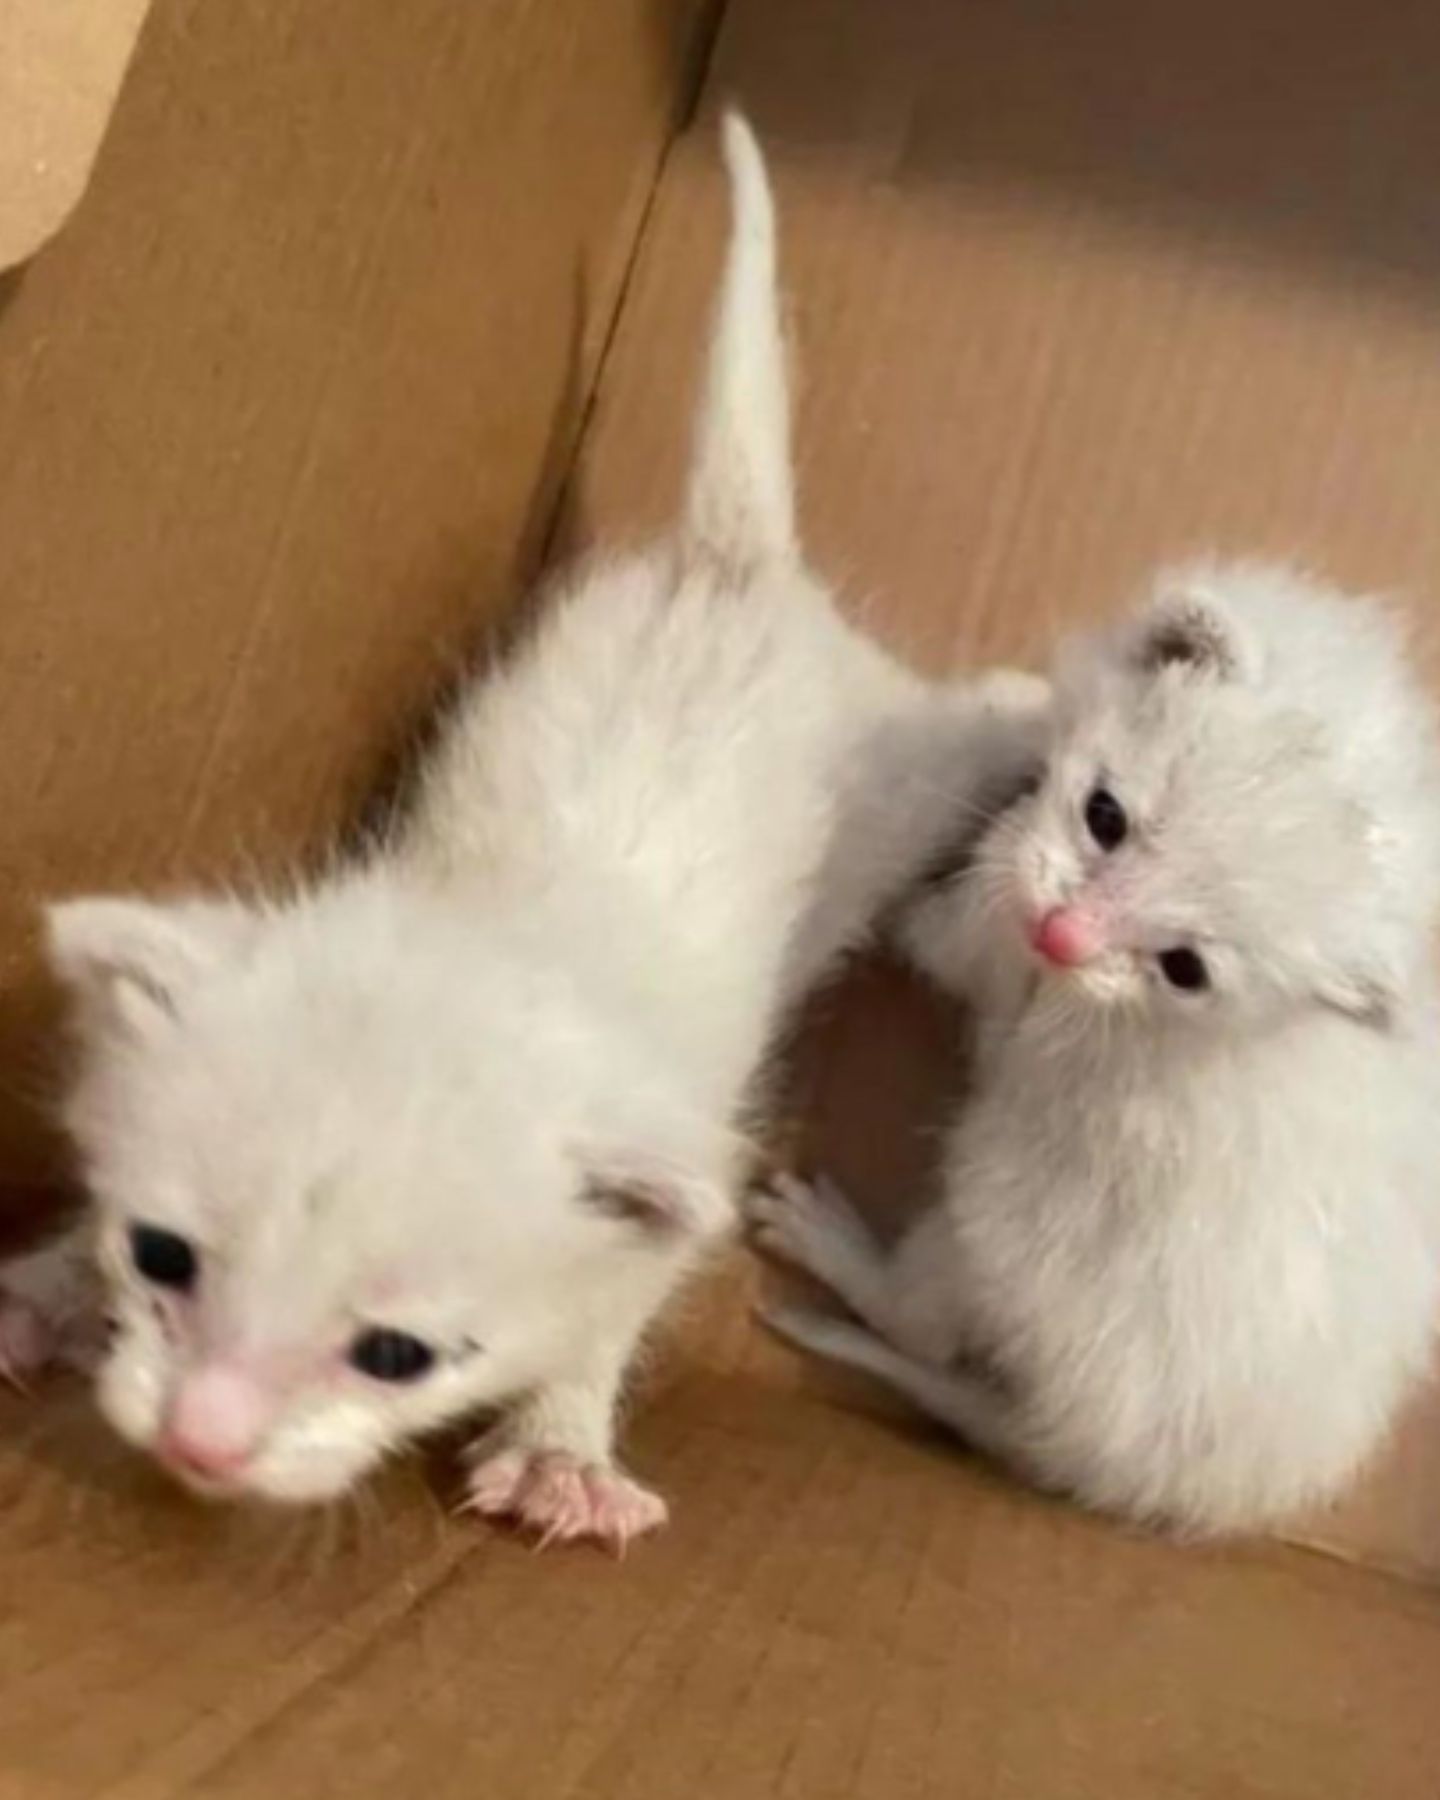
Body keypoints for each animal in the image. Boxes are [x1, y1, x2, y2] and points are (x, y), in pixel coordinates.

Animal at [0, 116, 1036, 1548]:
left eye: (397, 1355)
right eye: (160, 1253)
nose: (201, 1444)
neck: (489, 941)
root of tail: (729, 570)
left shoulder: (674, 1183)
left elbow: (608, 1313)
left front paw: (561, 1446)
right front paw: (45, 1286)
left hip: (902, 777)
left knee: (965, 721)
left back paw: (1039, 703)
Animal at [752, 558, 1440, 1533]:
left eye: (1185, 968)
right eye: (1104, 816)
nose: (1064, 939)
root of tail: (1139, 1482)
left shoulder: (991, 950)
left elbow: (938, 925)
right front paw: (1028, 701)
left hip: (1000, 1214)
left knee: (925, 1327)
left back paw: (832, 1242)